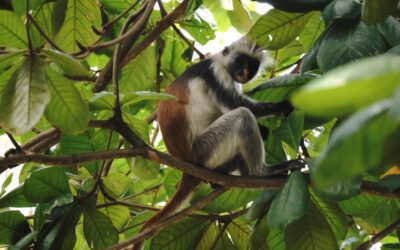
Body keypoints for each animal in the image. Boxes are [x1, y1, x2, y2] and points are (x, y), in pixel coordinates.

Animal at [134, 36, 300, 248]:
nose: (244, 73)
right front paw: (286, 104)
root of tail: (186, 163)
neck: (220, 62)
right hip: (205, 149)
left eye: (252, 66)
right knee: (242, 115)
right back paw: (261, 172)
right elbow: (237, 105)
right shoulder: (216, 75)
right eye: (241, 62)